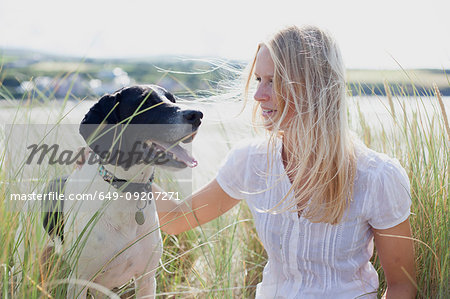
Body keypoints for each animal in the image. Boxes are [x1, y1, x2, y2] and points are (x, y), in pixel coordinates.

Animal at [40, 85, 202, 298]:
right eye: (145, 103)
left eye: (173, 99)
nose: (197, 115)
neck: (127, 191)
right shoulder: (79, 281)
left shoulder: (146, 279)